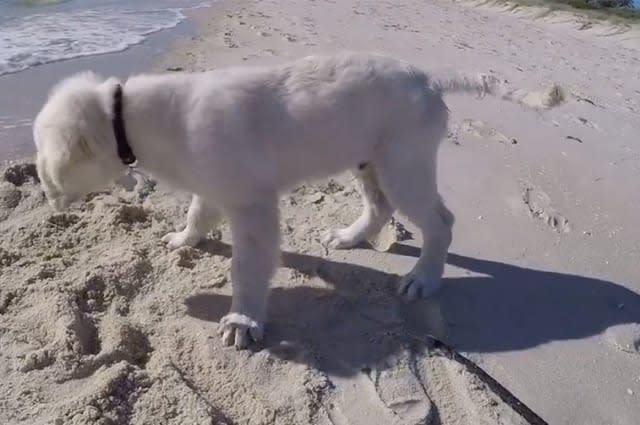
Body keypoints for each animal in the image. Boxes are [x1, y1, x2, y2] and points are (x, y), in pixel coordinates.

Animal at [36, 50, 510, 348]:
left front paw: (243, 321)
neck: (132, 118)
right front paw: (183, 240)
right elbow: (197, 214)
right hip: (369, 161)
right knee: (381, 207)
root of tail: (429, 79)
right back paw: (350, 237)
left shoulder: (252, 206)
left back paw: (423, 278)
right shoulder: (214, 187)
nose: (47, 198)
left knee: (440, 222)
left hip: (404, 166)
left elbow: (246, 269)